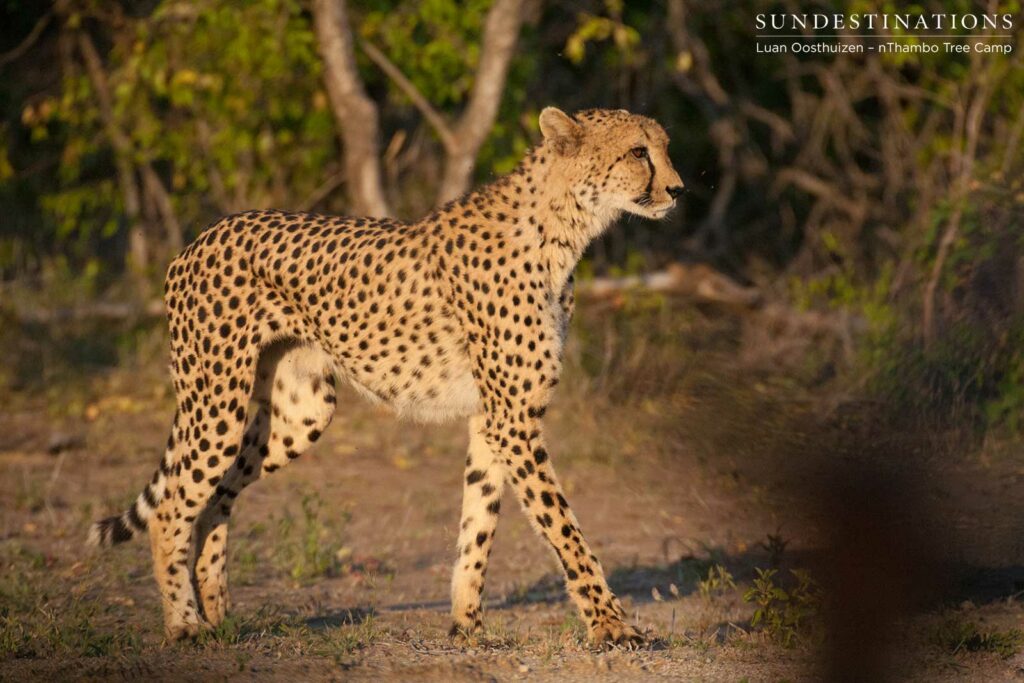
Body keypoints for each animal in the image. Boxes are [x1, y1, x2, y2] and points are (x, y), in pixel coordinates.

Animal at [87, 107, 684, 647]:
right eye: (638, 152)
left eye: (663, 147)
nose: (678, 190)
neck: (563, 226)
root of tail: (202, 235)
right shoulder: (514, 420)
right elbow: (565, 529)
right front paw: (612, 626)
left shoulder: (493, 419)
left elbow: (478, 523)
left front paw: (466, 627)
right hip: (217, 401)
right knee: (172, 508)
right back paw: (184, 625)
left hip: (300, 412)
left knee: (213, 500)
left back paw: (219, 616)